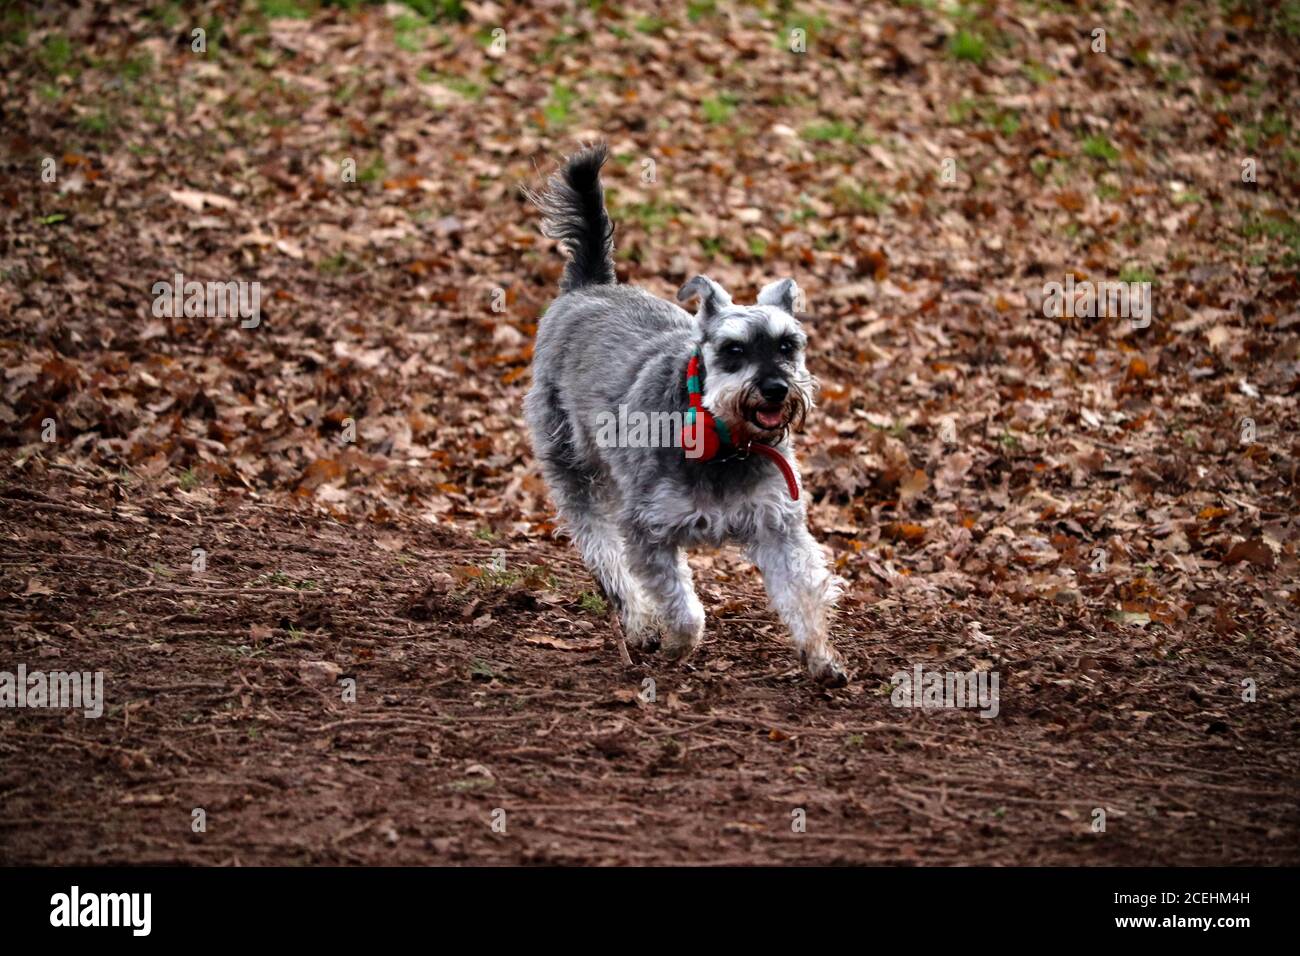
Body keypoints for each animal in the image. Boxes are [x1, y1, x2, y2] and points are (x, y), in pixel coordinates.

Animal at [522, 141, 847, 686]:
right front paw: (677, 643)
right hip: (574, 468)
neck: (725, 441)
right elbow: (683, 606)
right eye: (733, 350)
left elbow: (803, 591)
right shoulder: (647, 530)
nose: (775, 389)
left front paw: (821, 656)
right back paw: (639, 622)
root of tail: (587, 288)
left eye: (788, 345)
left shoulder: (777, 525)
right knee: (603, 551)